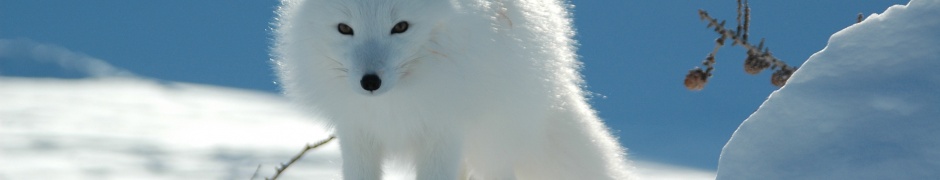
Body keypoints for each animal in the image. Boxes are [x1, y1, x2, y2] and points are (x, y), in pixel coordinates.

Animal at [270, 0, 632, 179]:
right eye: (345, 29)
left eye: (401, 27)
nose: (369, 82)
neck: (395, 105)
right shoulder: (358, 134)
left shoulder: (443, 130)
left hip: (492, 147)